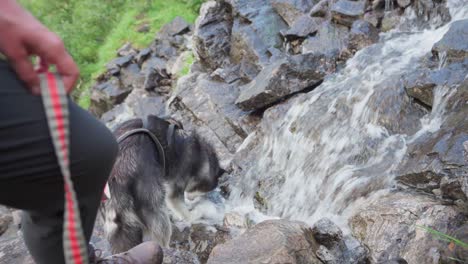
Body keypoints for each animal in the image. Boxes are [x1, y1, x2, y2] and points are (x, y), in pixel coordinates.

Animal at [102, 115, 225, 254]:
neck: (201, 157)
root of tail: (116, 180)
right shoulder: (176, 185)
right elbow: (184, 211)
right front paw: (193, 214)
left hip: (117, 227)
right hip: (156, 211)